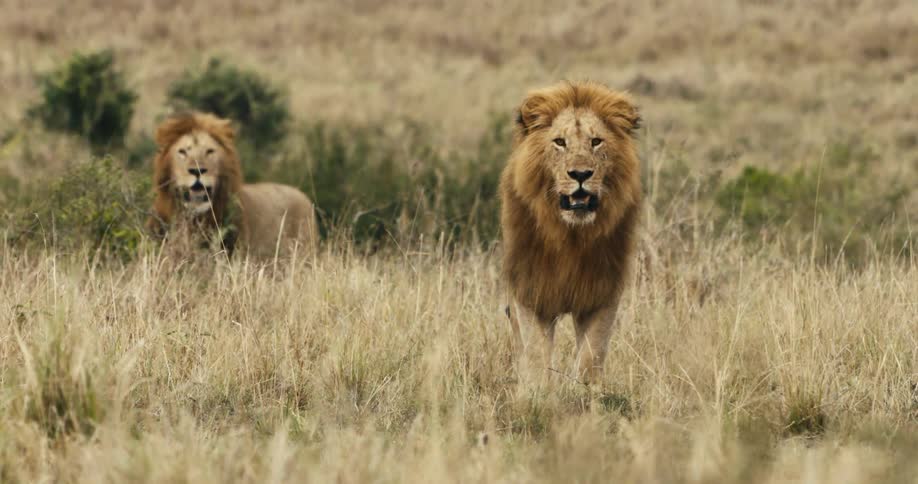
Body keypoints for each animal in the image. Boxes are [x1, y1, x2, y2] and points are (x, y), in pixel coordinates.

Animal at [500, 81, 641, 384]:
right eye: (560, 142)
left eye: (596, 141)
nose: (580, 174)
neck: (571, 237)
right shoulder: (531, 290)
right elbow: (536, 354)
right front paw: (536, 391)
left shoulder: (602, 293)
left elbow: (591, 355)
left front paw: (584, 390)